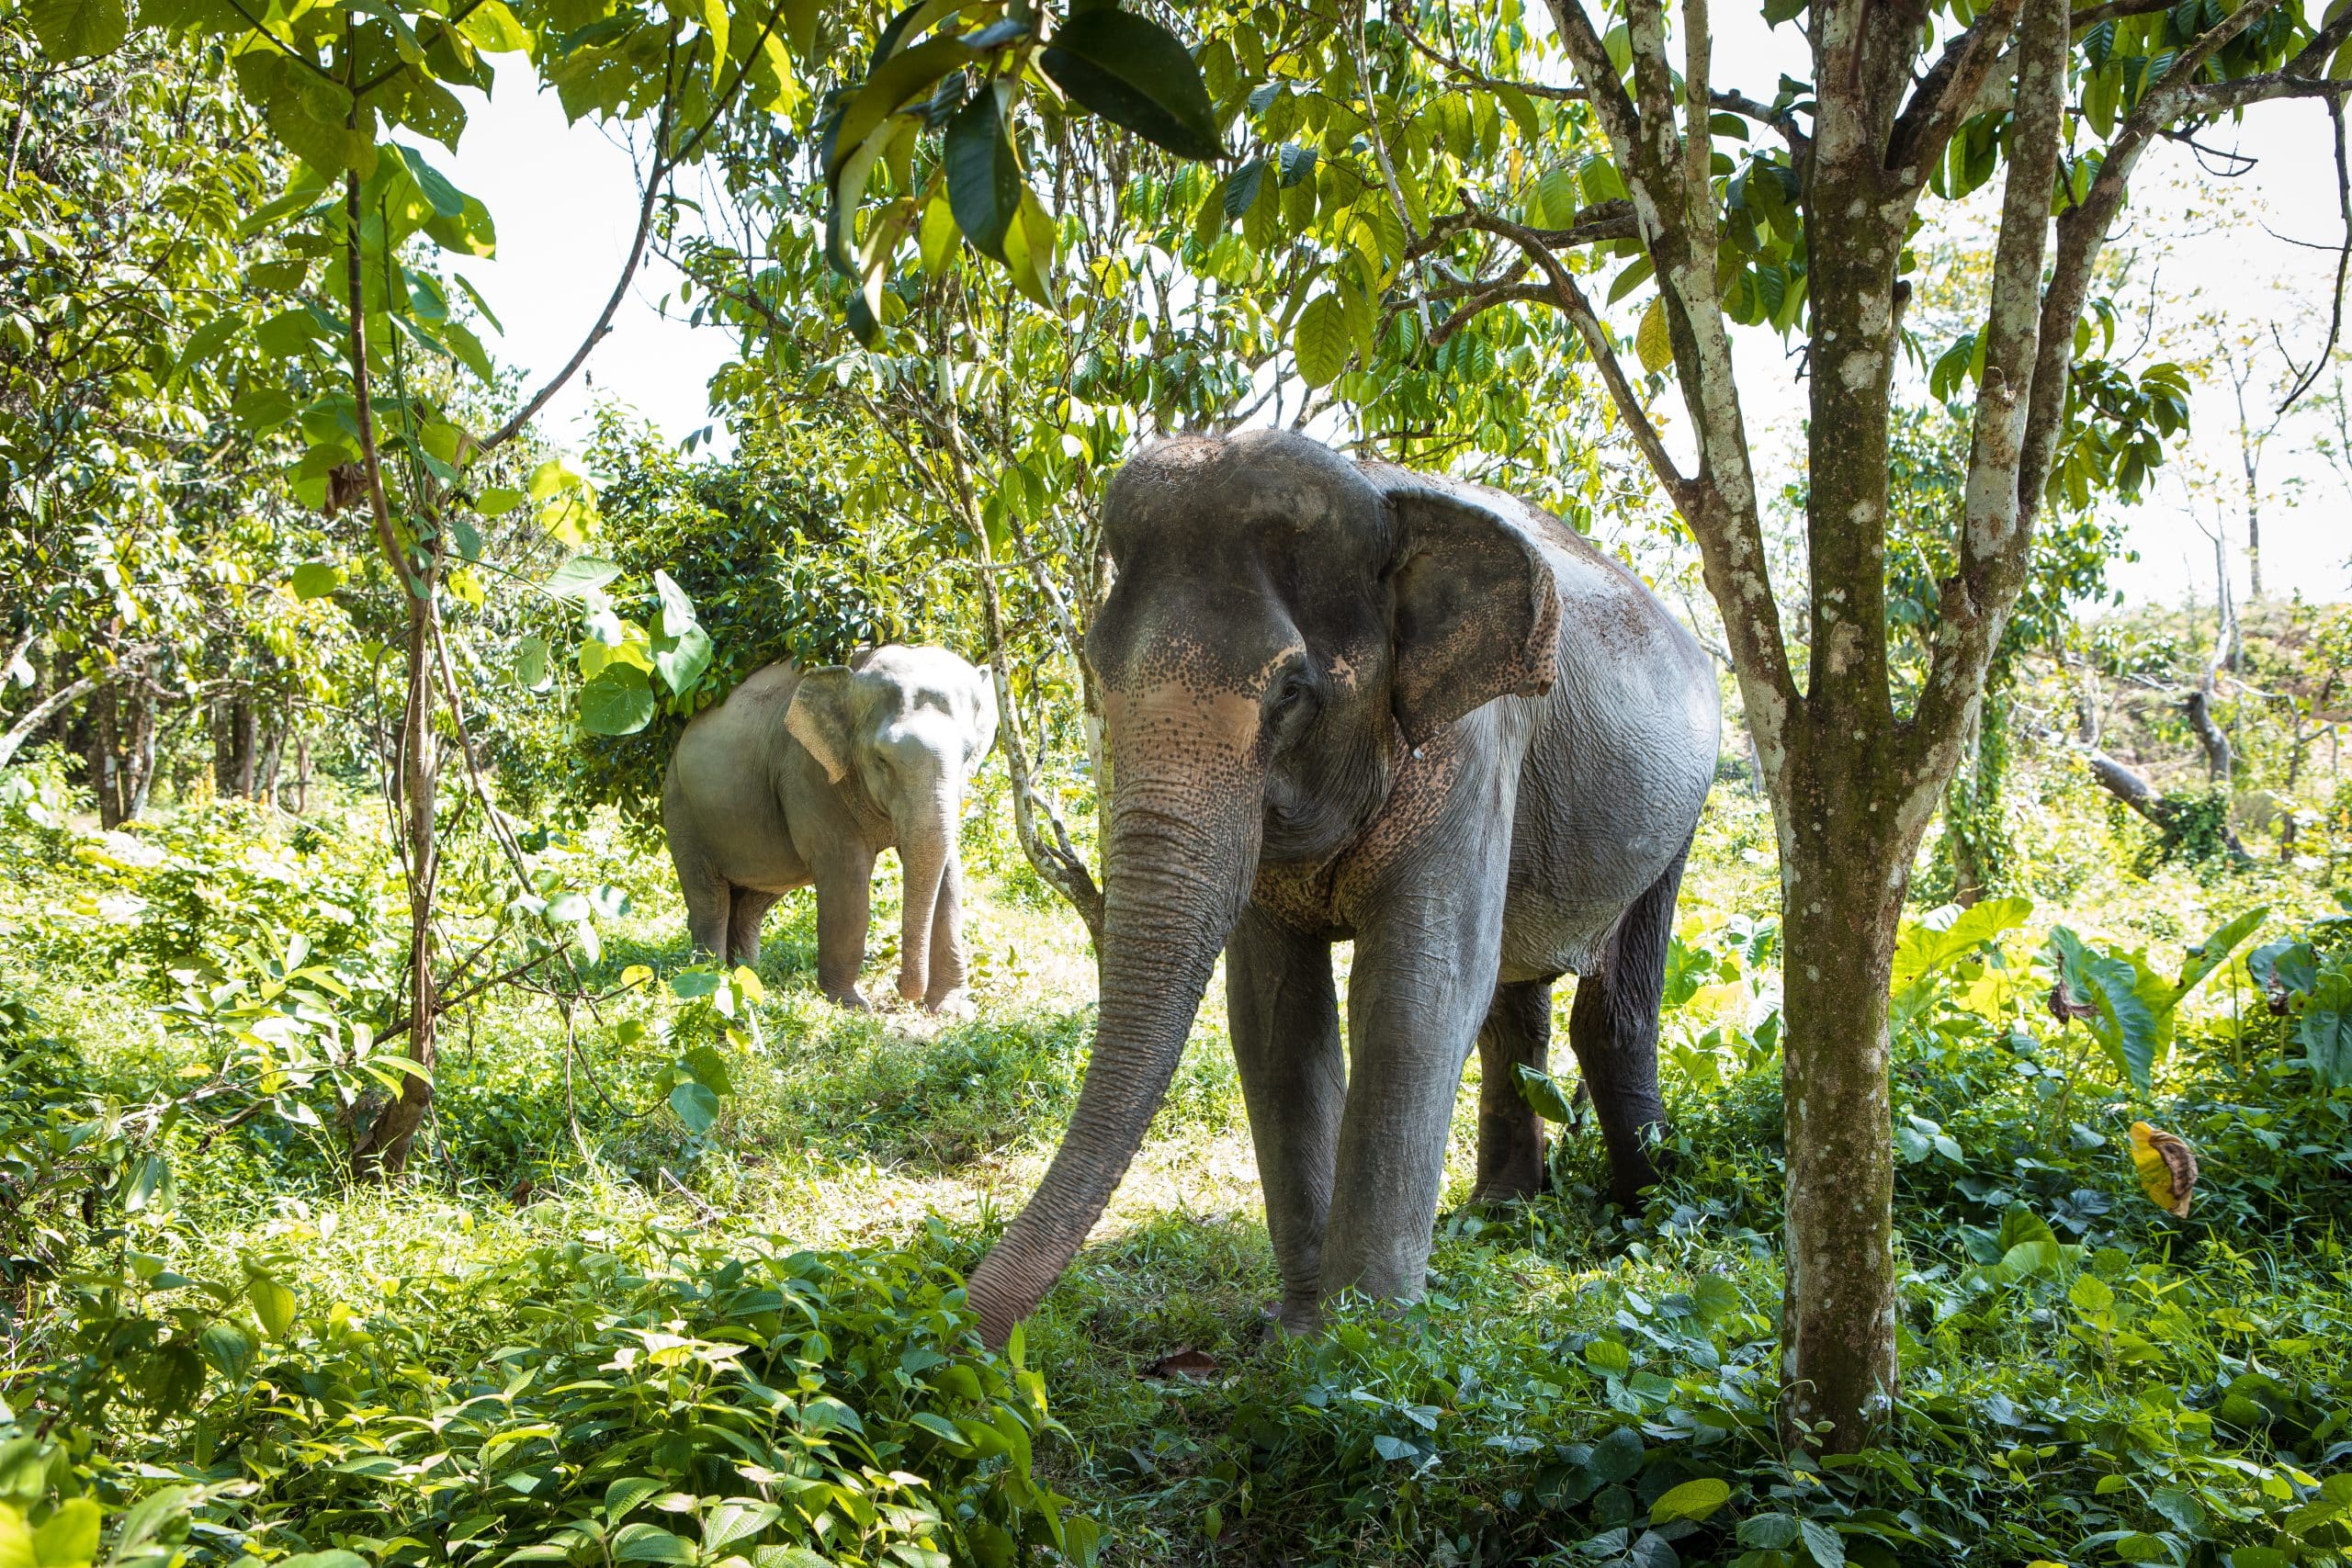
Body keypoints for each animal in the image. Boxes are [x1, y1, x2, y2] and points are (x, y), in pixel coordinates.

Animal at [658, 644, 997, 1010]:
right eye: (881, 760)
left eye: (968, 755)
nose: (900, 988)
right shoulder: (807, 773)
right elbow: (847, 875)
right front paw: (850, 1005)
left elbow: (949, 873)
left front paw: (952, 1008)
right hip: (681, 808)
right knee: (710, 900)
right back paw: (710, 980)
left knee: (752, 903)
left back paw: (746, 978)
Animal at [964, 432, 1721, 1354]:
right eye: (1098, 673)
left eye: (1291, 692)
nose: (960, 1338)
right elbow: (1276, 1015)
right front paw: (1299, 1330)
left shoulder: (1472, 747)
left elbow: (1416, 992)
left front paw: (1365, 1346)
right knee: (1514, 1007)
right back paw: (1498, 1218)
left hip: (1682, 807)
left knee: (1612, 1009)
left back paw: (1648, 1213)